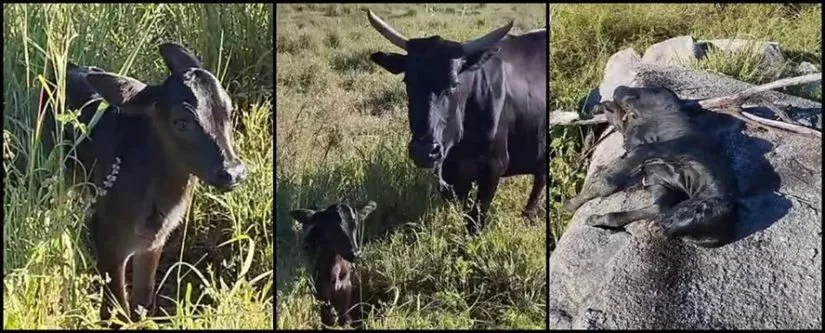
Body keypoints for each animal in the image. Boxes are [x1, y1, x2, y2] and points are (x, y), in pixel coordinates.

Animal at [366, 10, 548, 233]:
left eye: (454, 84)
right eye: (407, 81)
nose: (424, 151)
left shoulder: (493, 168)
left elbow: (475, 219)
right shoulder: (452, 175)